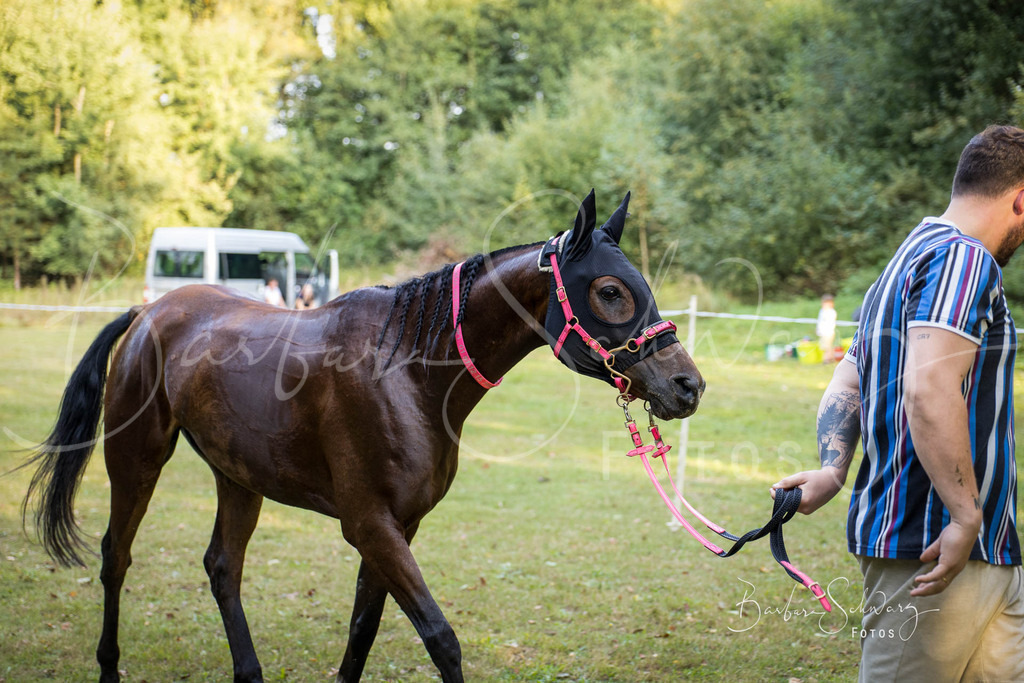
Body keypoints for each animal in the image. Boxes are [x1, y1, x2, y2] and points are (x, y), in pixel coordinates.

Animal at [23, 190, 703, 683]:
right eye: (610, 291)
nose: (688, 385)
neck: (407, 372)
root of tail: (150, 312)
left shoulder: (399, 527)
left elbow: (362, 632)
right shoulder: (371, 525)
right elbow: (440, 639)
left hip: (238, 477)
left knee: (222, 567)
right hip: (136, 459)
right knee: (116, 557)